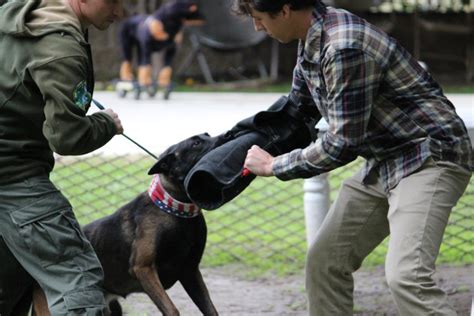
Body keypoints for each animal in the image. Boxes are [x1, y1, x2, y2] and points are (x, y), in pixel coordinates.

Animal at [30, 132, 231, 316]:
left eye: (207, 135)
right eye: (196, 143)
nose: (227, 135)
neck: (174, 209)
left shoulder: (190, 272)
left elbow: (211, 310)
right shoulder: (144, 269)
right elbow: (172, 310)